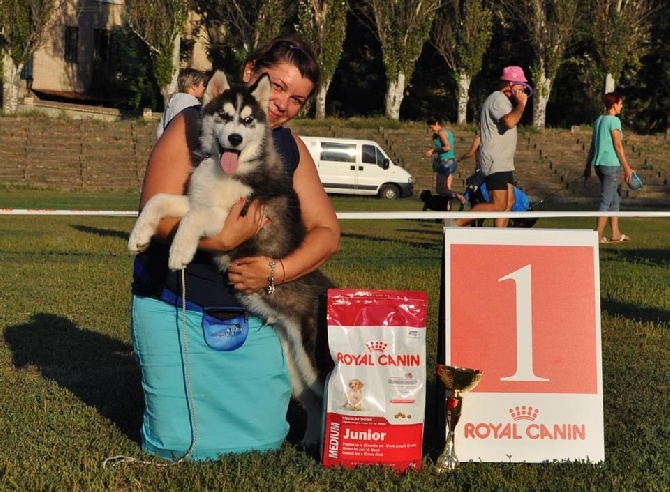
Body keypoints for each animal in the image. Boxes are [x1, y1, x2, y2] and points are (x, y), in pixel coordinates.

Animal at [128, 70, 336, 446]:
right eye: (224, 116)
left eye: (249, 120)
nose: (236, 139)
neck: (226, 170)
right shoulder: (194, 201)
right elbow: (159, 200)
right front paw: (139, 236)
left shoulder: (230, 218)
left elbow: (193, 220)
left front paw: (180, 251)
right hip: (295, 363)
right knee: (314, 404)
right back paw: (310, 441)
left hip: (314, 360)